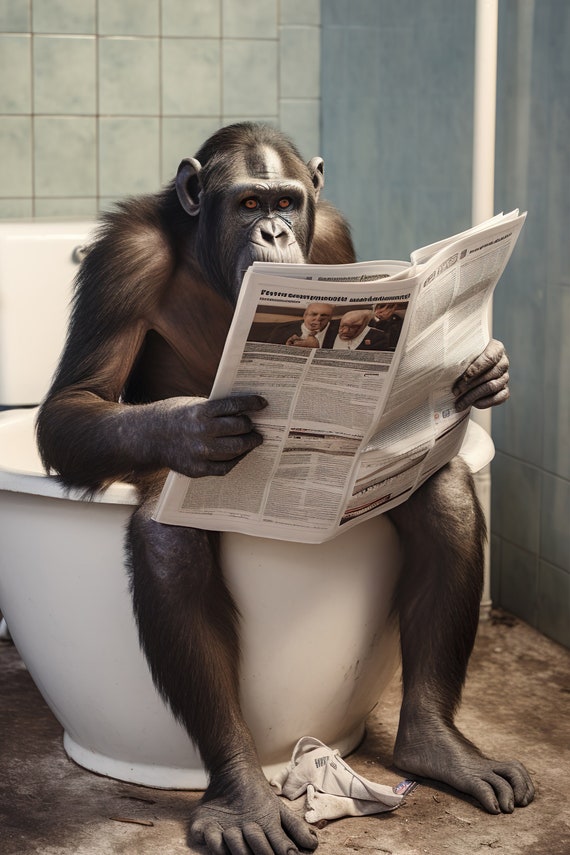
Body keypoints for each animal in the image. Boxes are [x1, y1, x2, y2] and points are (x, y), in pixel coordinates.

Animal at [36, 123, 534, 855]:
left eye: (285, 201)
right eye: (248, 203)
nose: (272, 231)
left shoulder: (334, 246)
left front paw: (484, 370)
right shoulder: (122, 260)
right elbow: (74, 402)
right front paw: (194, 427)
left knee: (440, 491)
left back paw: (437, 747)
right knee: (168, 538)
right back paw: (244, 795)